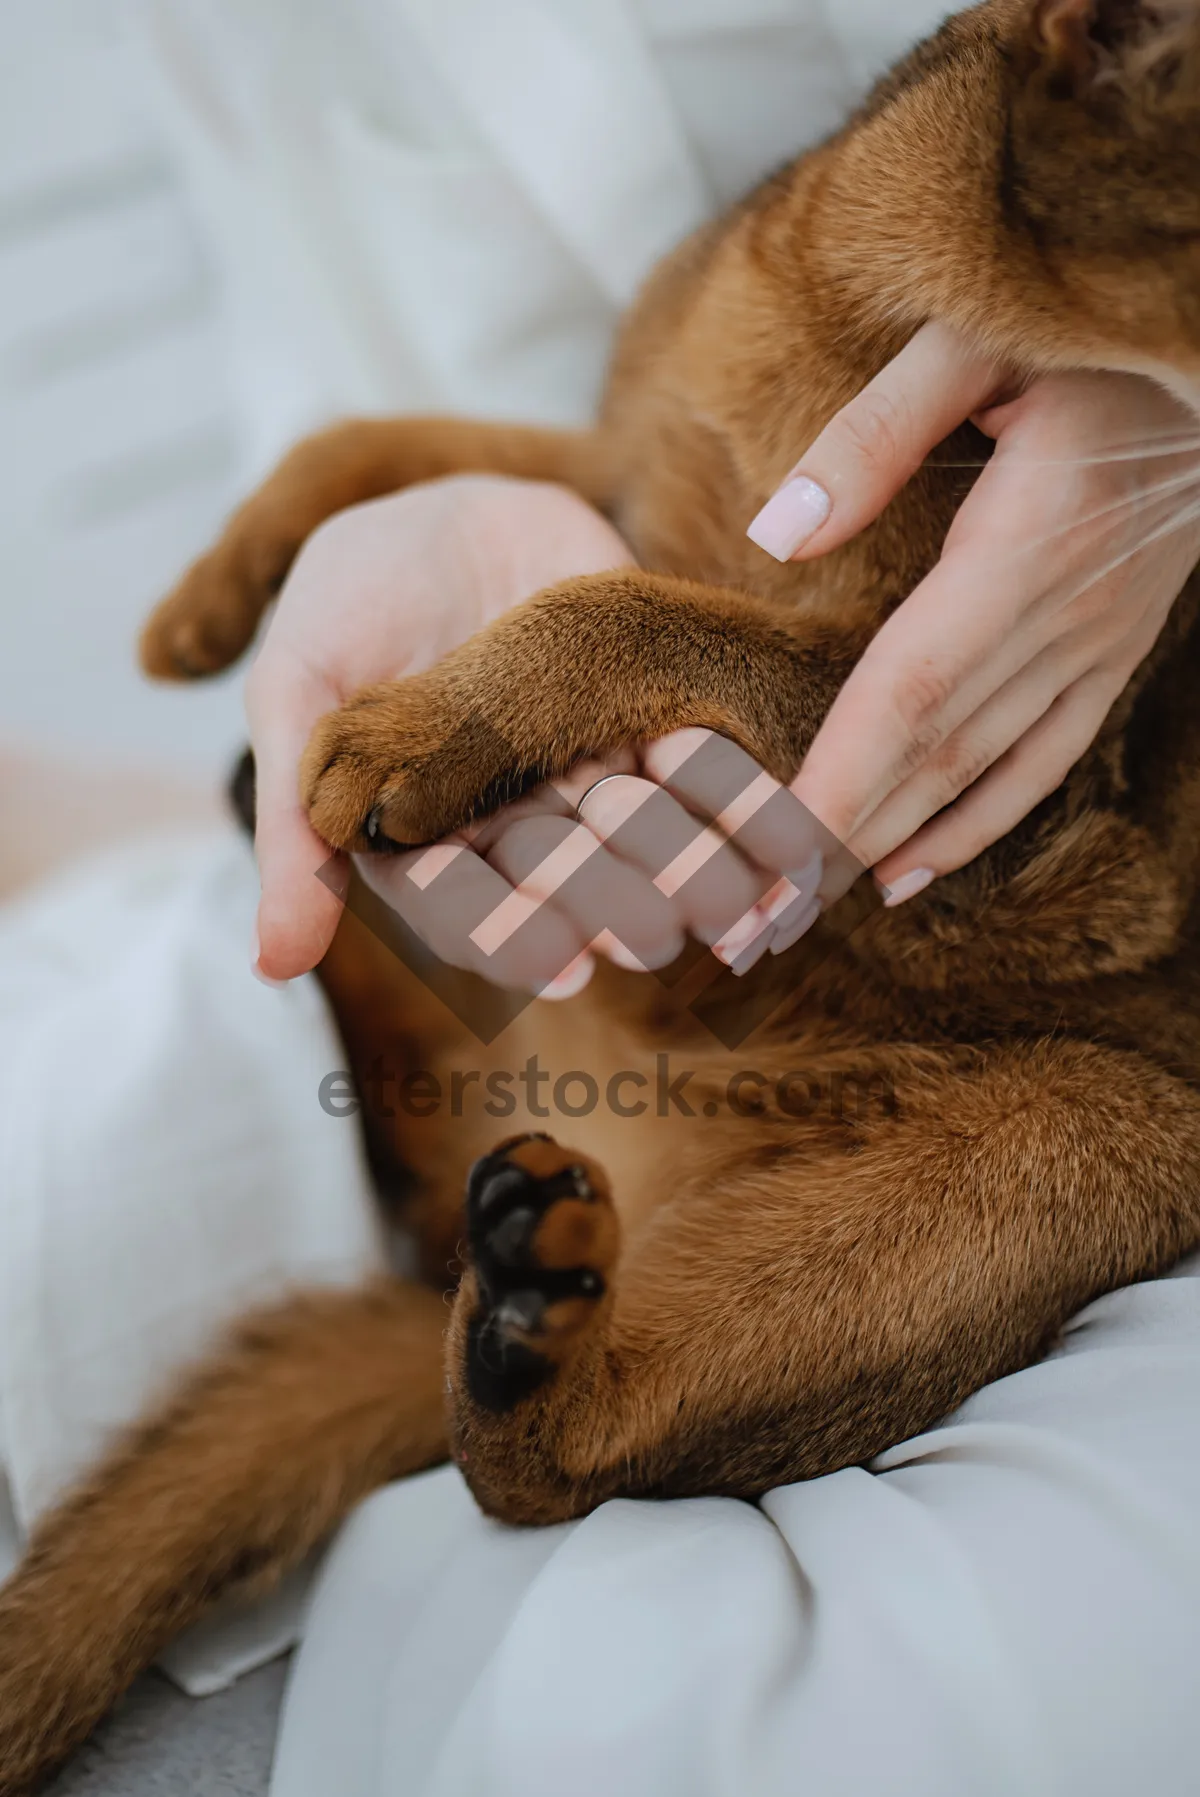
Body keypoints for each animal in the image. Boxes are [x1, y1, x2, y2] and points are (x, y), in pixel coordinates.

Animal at [2, 0, 1200, 1789]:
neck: (852, 307)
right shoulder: (619, 458)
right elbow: (401, 439)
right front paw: (214, 593)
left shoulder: (1013, 789)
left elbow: (636, 607)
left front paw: (426, 726)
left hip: (1075, 1155)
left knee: (540, 1481)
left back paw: (533, 1332)